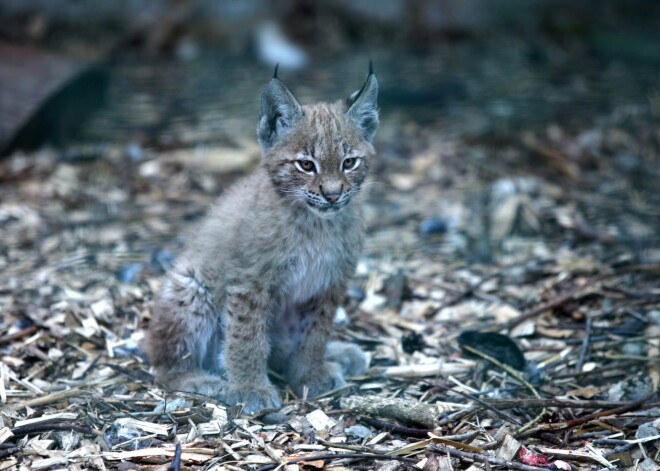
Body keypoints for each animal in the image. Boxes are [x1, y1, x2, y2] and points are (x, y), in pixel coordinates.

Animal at [146, 63, 378, 412]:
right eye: (306, 165)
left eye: (349, 162)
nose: (333, 195)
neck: (315, 225)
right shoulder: (250, 279)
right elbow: (248, 336)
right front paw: (250, 389)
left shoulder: (329, 282)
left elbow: (316, 332)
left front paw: (309, 373)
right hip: (191, 284)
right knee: (161, 365)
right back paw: (200, 381)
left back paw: (337, 355)